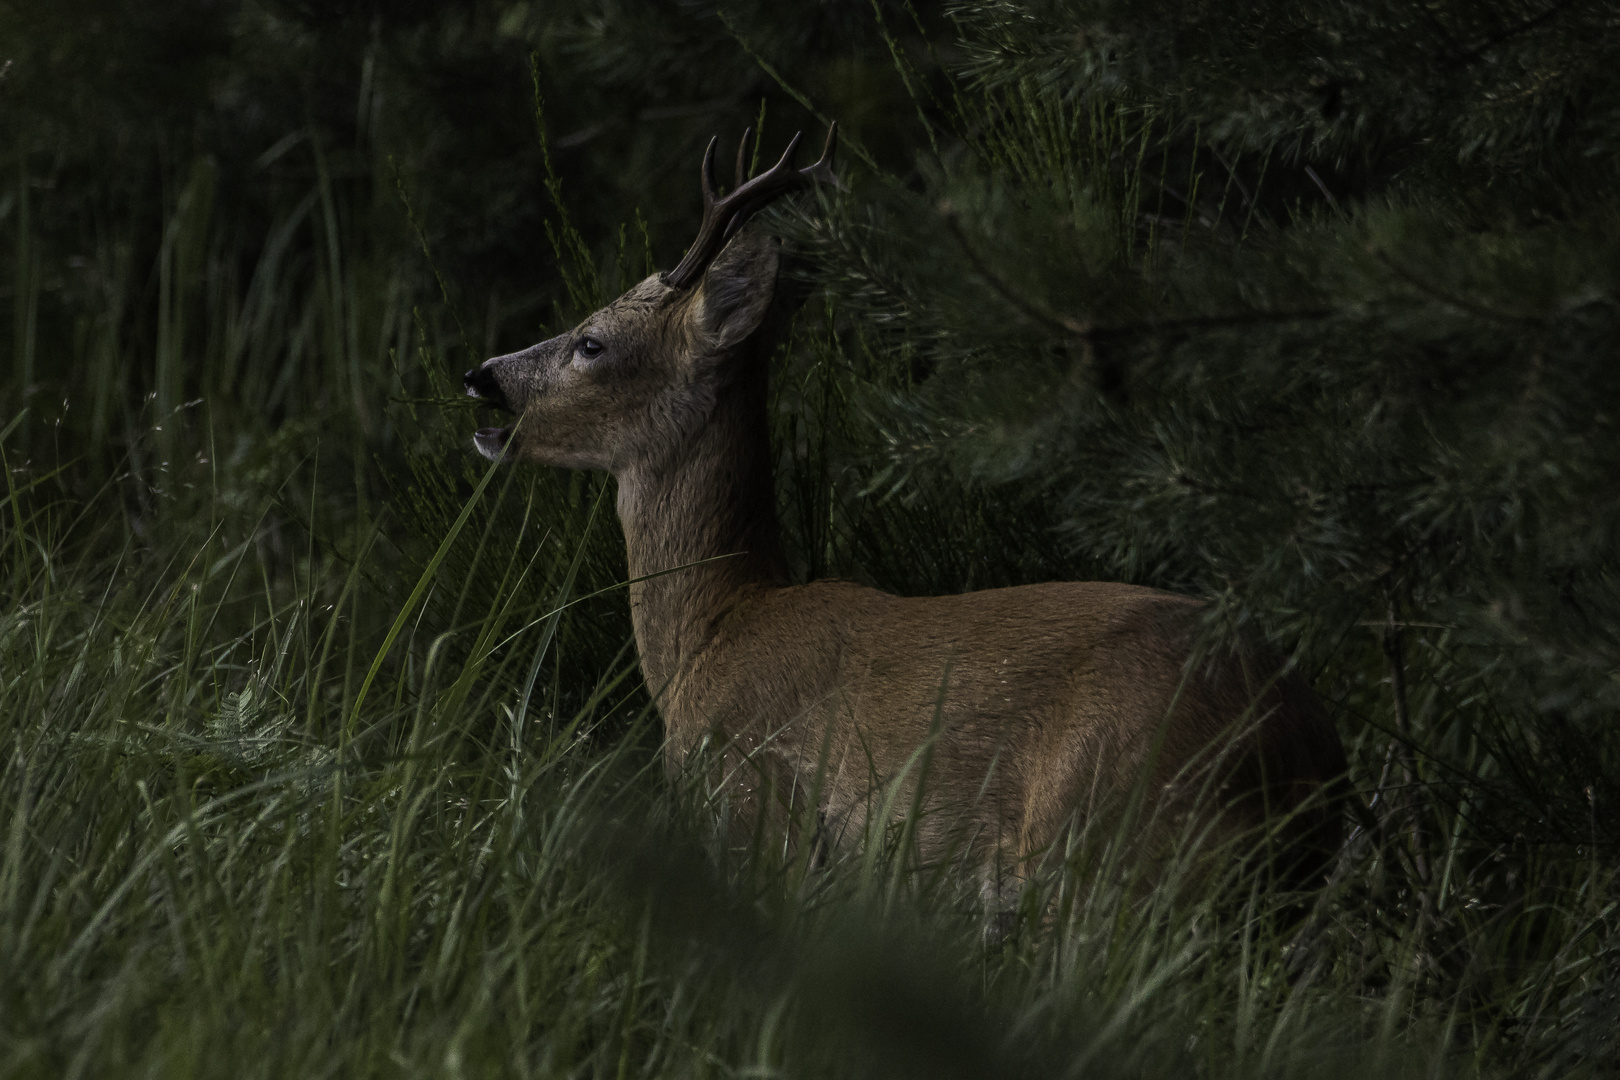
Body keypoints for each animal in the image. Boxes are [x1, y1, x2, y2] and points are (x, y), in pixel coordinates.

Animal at [463, 127, 1347, 893]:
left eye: (593, 342)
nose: (481, 375)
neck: (716, 633)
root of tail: (1300, 740)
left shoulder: (758, 808)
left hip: (1108, 834)